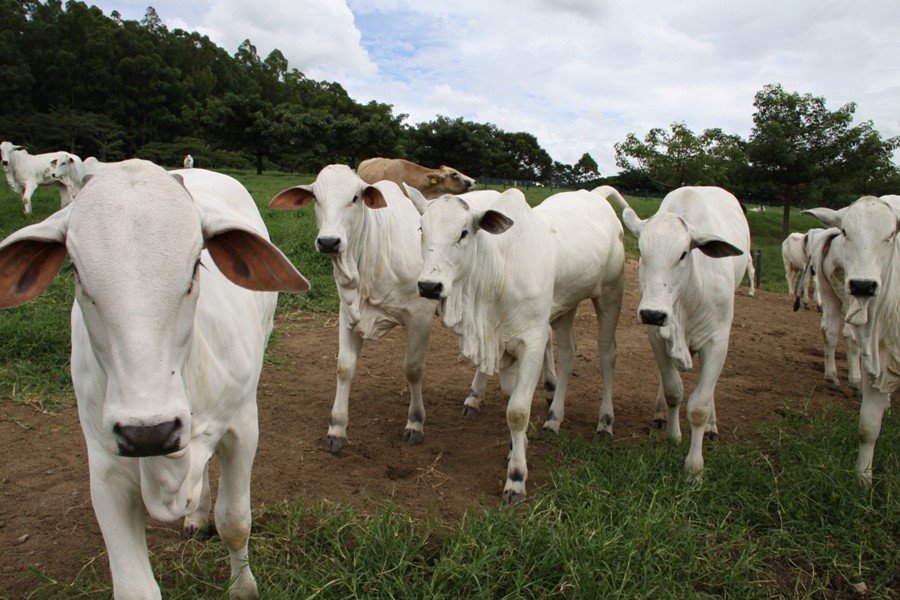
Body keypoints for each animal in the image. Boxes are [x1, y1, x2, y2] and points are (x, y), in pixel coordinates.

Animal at [0, 159, 310, 600]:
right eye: (75, 269)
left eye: (197, 263)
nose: (149, 432)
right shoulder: (105, 464)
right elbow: (135, 587)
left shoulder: (242, 427)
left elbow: (235, 522)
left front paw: (242, 588)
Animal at [268, 163, 440, 450]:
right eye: (316, 199)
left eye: (355, 198)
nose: (329, 242)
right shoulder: (347, 313)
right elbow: (344, 367)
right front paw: (337, 427)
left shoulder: (420, 315)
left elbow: (413, 369)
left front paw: (415, 422)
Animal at [612, 185, 752, 480]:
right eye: (641, 251)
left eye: (683, 254)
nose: (653, 313)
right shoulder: (656, 336)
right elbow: (673, 389)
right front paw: (673, 435)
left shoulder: (717, 342)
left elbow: (699, 406)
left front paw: (694, 468)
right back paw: (661, 414)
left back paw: (711, 427)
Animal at [800, 195, 900, 486]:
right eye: (846, 231)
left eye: (891, 235)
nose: (863, 285)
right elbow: (868, 427)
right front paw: (863, 480)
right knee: (842, 335)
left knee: (832, 332)